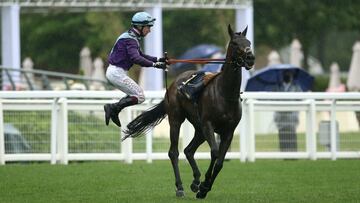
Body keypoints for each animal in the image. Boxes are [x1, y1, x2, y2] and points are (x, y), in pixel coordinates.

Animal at [122, 24, 255, 199]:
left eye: (249, 42)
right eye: (234, 43)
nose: (250, 57)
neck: (224, 93)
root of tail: (174, 84)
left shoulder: (229, 131)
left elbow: (219, 162)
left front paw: (204, 187)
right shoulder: (208, 125)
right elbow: (214, 152)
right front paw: (204, 186)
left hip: (199, 129)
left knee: (189, 150)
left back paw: (195, 181)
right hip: (176, 120)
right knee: (174, 152)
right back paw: (180, 187)